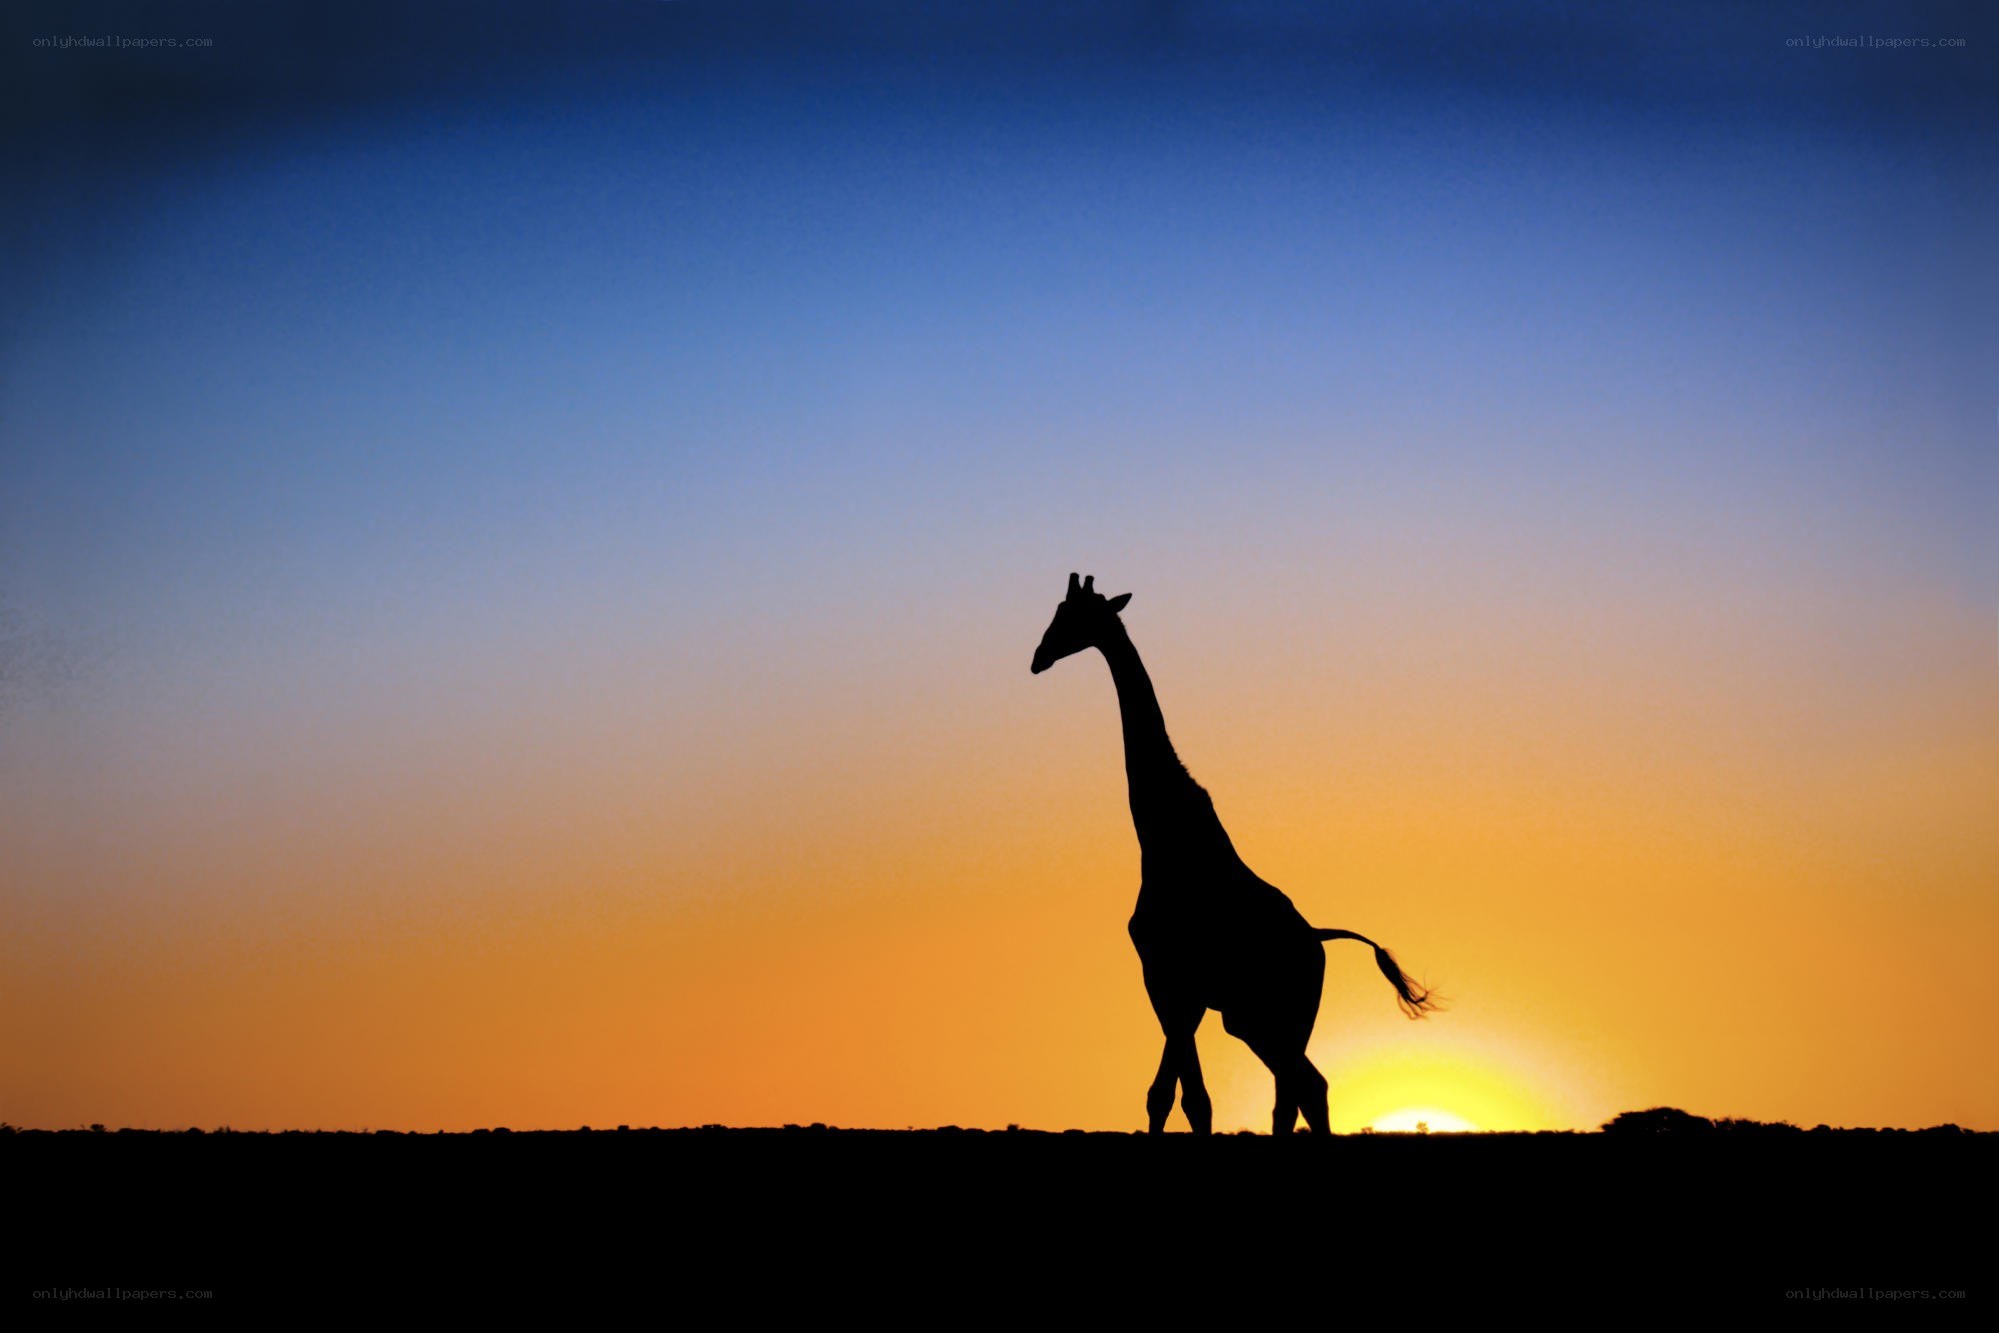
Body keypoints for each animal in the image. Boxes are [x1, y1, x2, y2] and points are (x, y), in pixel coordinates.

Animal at [1032, 573, 1437, 1135]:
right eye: (1057, 611)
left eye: (1073, 616)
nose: (1038, 657)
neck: (1163, 836)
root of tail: (1317, 939)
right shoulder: (1181, 988)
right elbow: (1165, 1094)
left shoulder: (1169, 977)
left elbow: (1190, 1098)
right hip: (1256, 1019)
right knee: (1304, 1088)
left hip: (1273, 1015)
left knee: (1301, 1087)